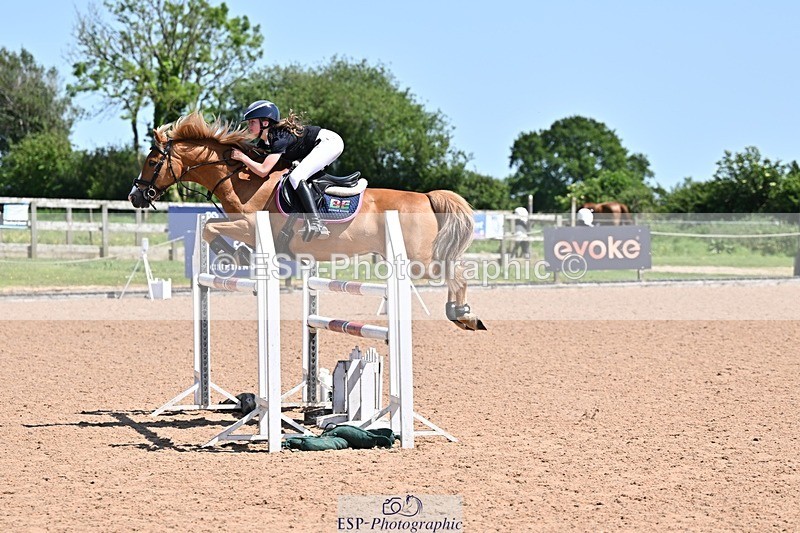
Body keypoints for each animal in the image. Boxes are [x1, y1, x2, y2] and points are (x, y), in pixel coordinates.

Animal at [128, 112, 486, 331]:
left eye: (153, 161)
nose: (135, 196)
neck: (243, 181)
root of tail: (425, 197)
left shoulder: (252, 227)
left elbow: (211, 229)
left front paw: (234, 255)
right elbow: (210, 228)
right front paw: (238, 254)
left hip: (420, 260)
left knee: (458, 273)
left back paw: (464, 315)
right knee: (455, 271)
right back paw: (461, 314)